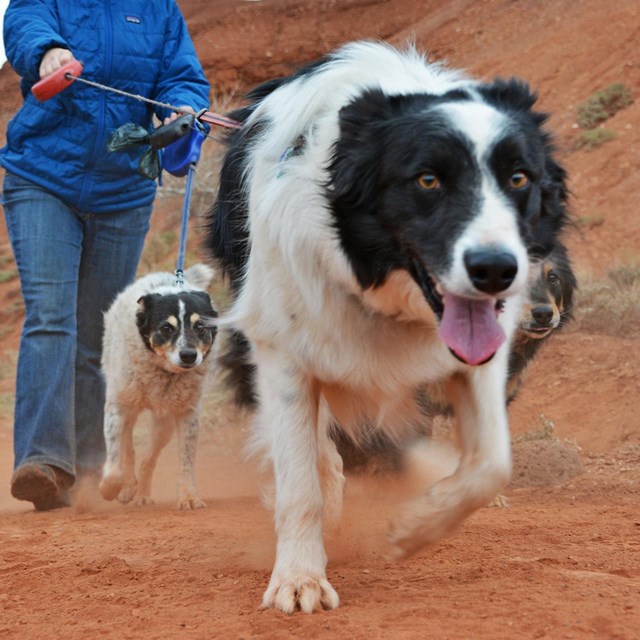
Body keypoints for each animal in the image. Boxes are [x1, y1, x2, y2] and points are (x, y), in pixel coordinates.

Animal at [99, 264, 218, 510]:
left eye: (200, 327)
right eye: (165, 328)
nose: (189, 355)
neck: (164, 373)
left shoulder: (187, 414)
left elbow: (185, 462)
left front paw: (188, 497)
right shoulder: (117, 407)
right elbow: (116, 458)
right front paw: (111, 487)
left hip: (163, 425)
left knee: (148, 458)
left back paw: (142, 494)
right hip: (128, 406)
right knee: (128, 448)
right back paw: (128, 487)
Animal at [208, 42, 568, 612]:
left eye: (518, 178)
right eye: (427, 180)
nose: (496, 271)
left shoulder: (479, 352)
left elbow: (491, 463)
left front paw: (414, 527)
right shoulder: (281, 345)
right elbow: (301, 478)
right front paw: (299, 580)